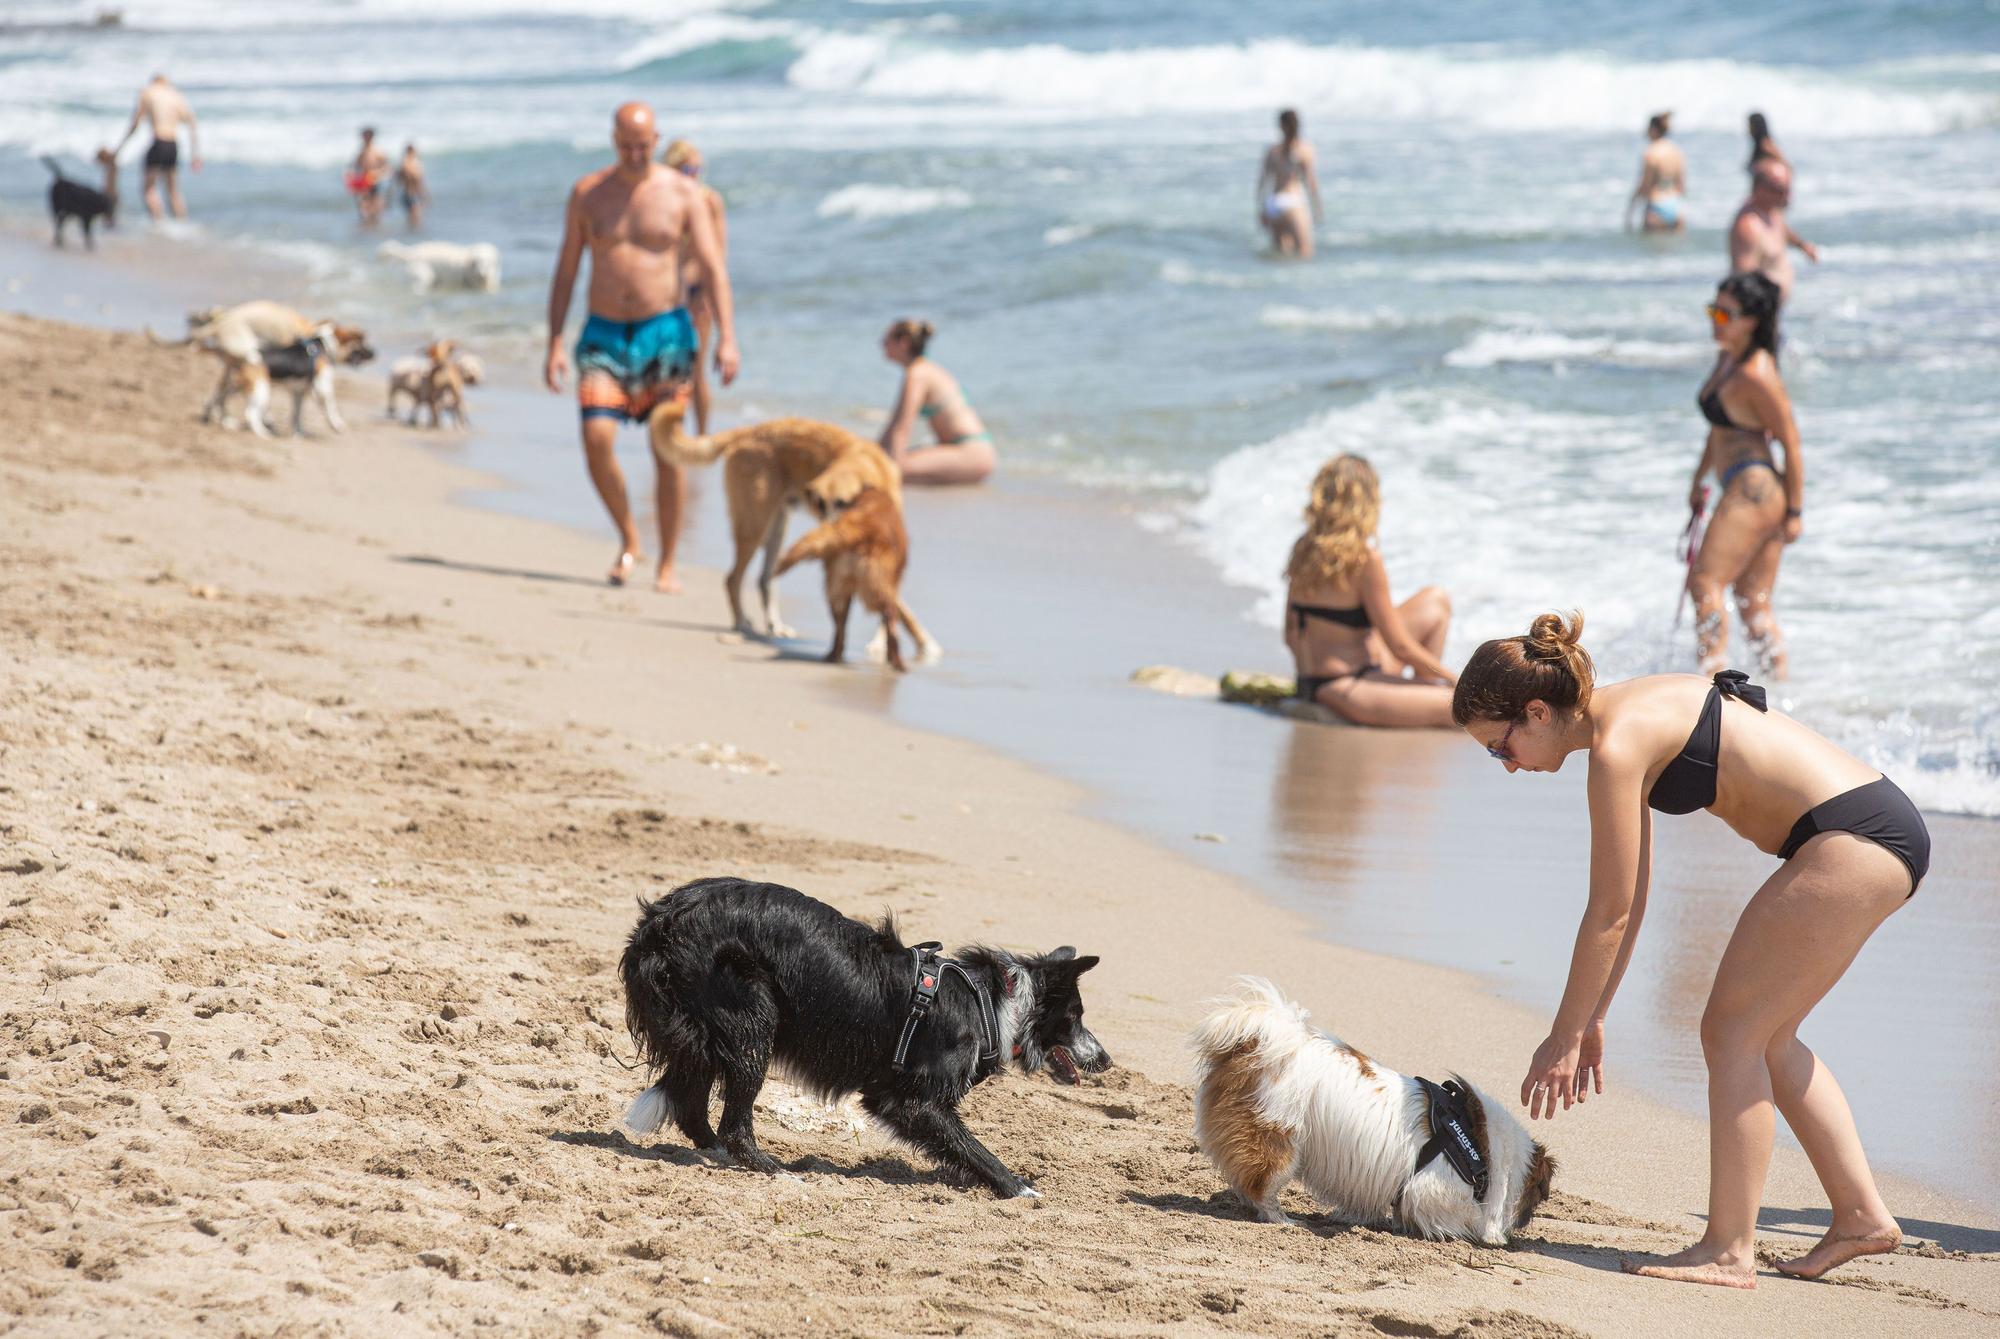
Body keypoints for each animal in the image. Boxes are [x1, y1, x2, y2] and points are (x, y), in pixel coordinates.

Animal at [616, 875, 1112, 1199]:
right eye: (1076, 1017)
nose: (1107, 1060)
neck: (991, 1005)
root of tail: (663, 919)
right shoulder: (911, 1101)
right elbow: (974, 1147)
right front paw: (1019, 1188)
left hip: (706, 1033)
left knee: (692, 1108)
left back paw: (719, 1154)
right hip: (752, 1023)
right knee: (734, 1126)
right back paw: (776, 1171)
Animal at [652, 409, 904, 639]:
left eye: (843, 503)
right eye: (820, 505)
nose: (832, 531)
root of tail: (750, 430)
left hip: (777, 528)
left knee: (764, 580)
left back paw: (775, 625)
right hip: (755, 526)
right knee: (733, 578)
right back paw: (741, 622)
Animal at [780, 487, 936, 675]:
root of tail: (861, 525)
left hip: (836, 588)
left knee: (839, 628)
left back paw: (834, 656)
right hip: (878, 589)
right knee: (891, 623)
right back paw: (897, 663)